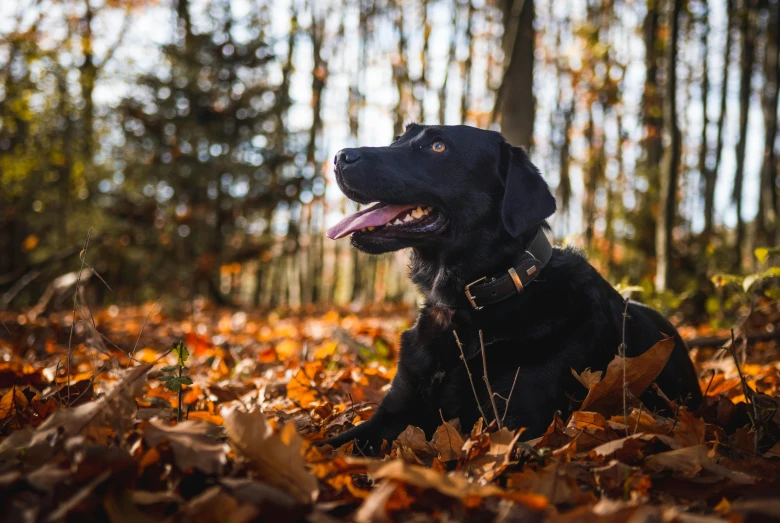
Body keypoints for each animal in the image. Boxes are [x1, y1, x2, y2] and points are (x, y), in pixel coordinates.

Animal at [322, 125, 700, 452]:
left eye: (438, 146)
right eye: (399, 138)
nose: (339, 155)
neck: (468, 305)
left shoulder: (516, 424)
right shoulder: (393, 413)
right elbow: (329, 445)